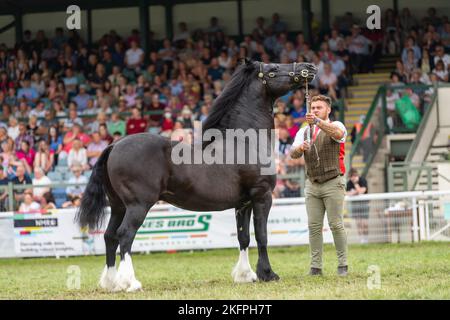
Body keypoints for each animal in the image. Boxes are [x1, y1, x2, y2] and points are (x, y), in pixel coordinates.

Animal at [75, 60, 316, 292]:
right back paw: (130, 283)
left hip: (118, 206)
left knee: (109, 236)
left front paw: (246, 276)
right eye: (273, 69)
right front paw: (268, 274)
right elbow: (262, 235)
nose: (309, 67)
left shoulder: (243, 204)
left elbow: (244, 237)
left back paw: (111, 283)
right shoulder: (261, 196)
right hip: (137, 205)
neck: (245, 141)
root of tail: (114, 145)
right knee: (125, 235)